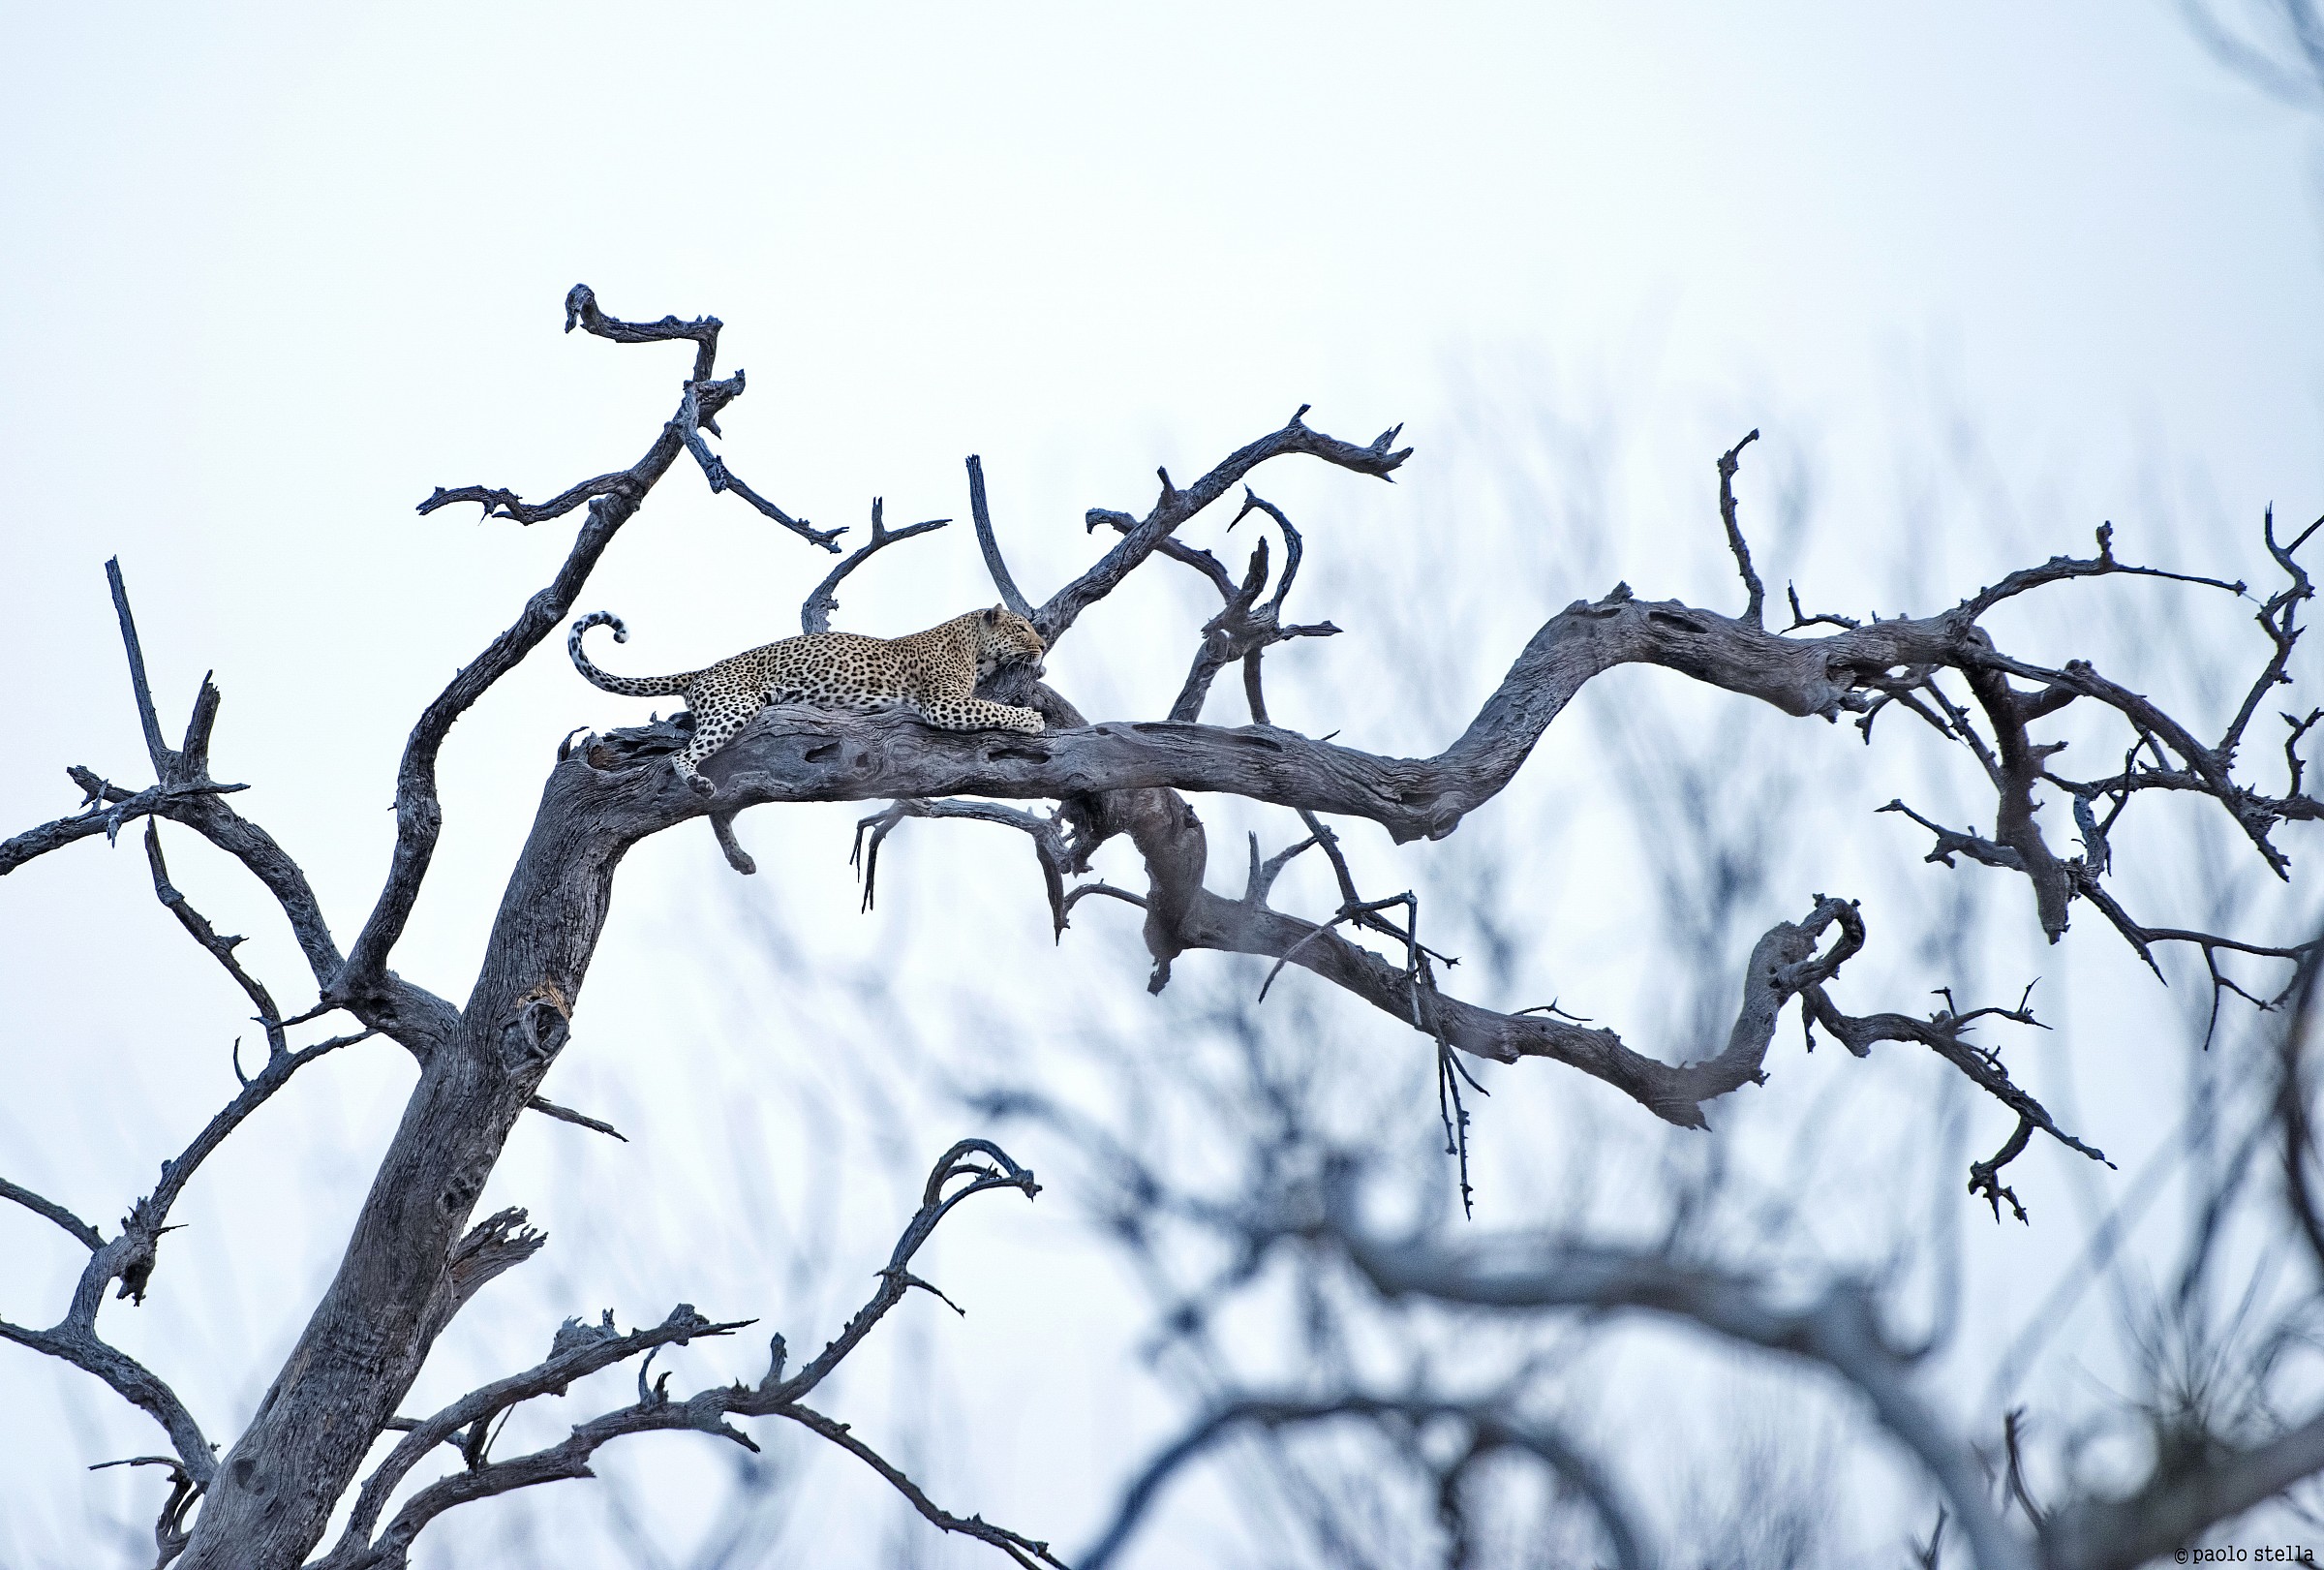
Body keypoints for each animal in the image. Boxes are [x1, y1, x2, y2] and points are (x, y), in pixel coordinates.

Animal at [569, 605, 1048, 795]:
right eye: (1022, 629)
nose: (1042, 644)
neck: (973, 646)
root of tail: (705, 669)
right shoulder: (944, 703)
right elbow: (993, 707)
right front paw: (1033, 719)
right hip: (735, 705)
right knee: (681, 754)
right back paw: (697, 782)